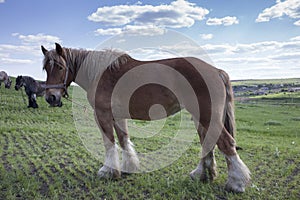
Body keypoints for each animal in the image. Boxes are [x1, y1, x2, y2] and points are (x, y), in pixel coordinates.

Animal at [40, 43, 251, 193]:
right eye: (45, 69)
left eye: (60, 67)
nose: (51, 97)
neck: (100, 73)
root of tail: (216, 71)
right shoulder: (118, 117)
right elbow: (124, 141)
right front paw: (129, 167)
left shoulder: (103, 115)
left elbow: (109, 143)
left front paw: (108, 171)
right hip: (200, 118)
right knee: (208, 144)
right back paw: (201, 175)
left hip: (208, 117)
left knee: (226, 143)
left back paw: (236, 183)